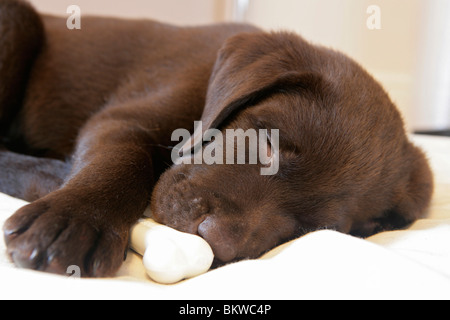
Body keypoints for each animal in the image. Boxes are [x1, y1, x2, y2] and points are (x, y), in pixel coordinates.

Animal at [0, 0, 436, 276]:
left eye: (318, 226)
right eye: (267, 144)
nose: (215, 240)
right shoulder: (128, 116)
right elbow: (123, 159)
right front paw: (74, 220)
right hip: (18, 19)